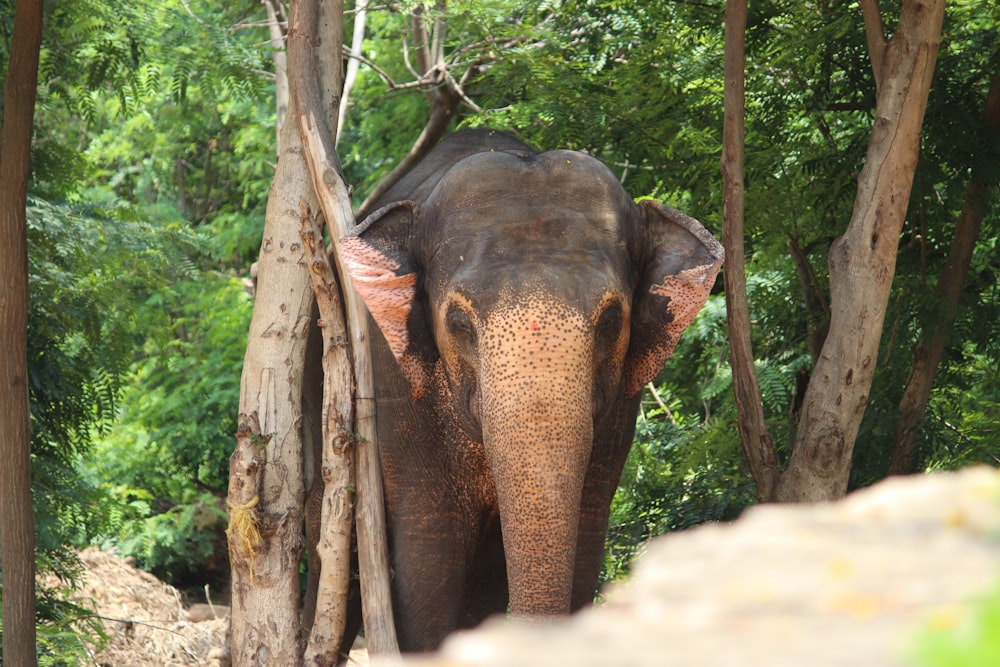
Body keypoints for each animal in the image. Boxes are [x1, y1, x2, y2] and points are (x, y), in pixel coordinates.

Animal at [340, 126, 724, 652]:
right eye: (458, 323)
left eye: (612, 320)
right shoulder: (397, 389)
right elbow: (430, 564)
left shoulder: (618, 411)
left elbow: (583, 545)